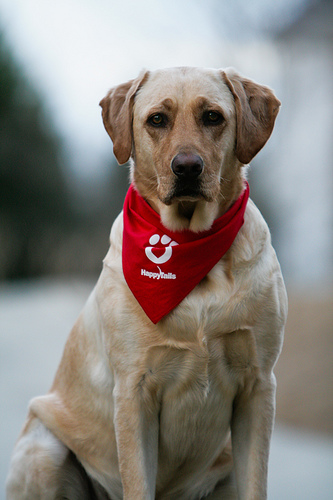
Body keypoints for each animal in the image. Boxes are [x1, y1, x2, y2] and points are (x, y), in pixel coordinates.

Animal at [6, 67, 286, 500]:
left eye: (213, 117)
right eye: (157, 119)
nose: (186, 167)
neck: (189, 246)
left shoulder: (258, 387)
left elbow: (256, 484)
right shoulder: (134, 391)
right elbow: (138, 483)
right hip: (43, 449)